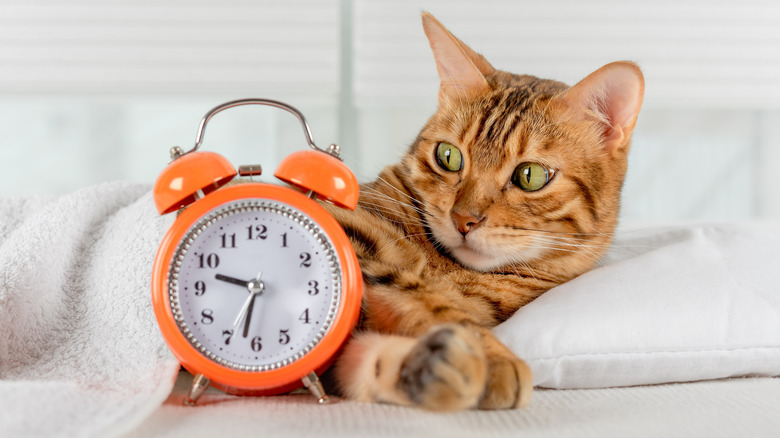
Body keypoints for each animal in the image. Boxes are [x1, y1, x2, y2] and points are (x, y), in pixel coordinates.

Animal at [326, 12, 644, 410]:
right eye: (448, 156)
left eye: (530, 176)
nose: (464, 220)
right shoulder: (352, 242)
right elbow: (418, 293)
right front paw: (489, 356)